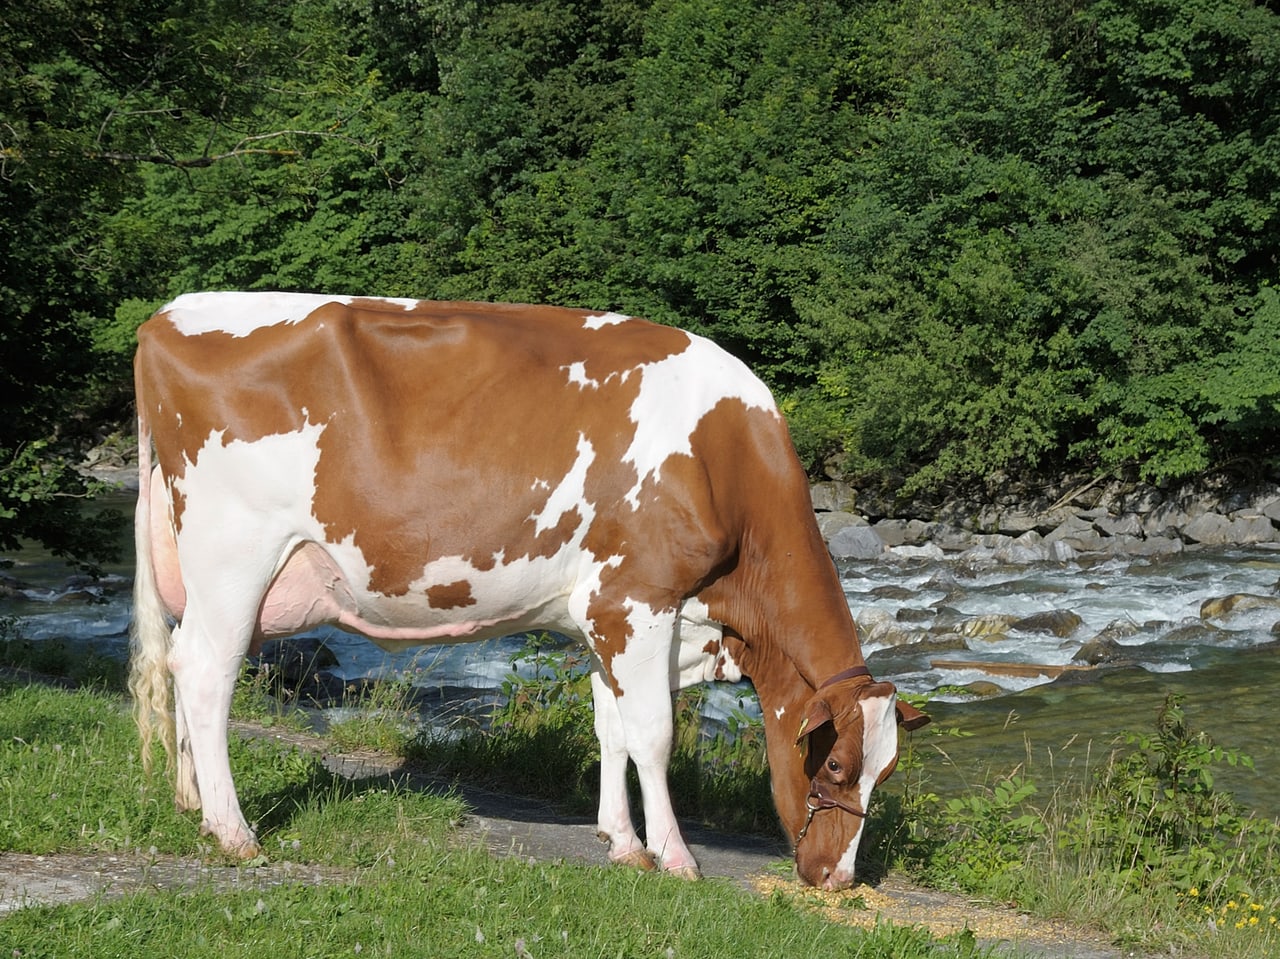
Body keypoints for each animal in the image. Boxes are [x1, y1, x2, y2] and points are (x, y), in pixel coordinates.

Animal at [129, 291, 926, 891]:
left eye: (887, 772)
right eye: (834, 764)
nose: (837, 879)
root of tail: (166, 317)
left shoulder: (604, 616)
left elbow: (612, 728)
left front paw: (621, 841)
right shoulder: (637, 600)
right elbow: (654, 734)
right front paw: (674, 856)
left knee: (179, 661)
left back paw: (191, 801)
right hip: (235, 559)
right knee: (205, 673)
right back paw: (234, 831)